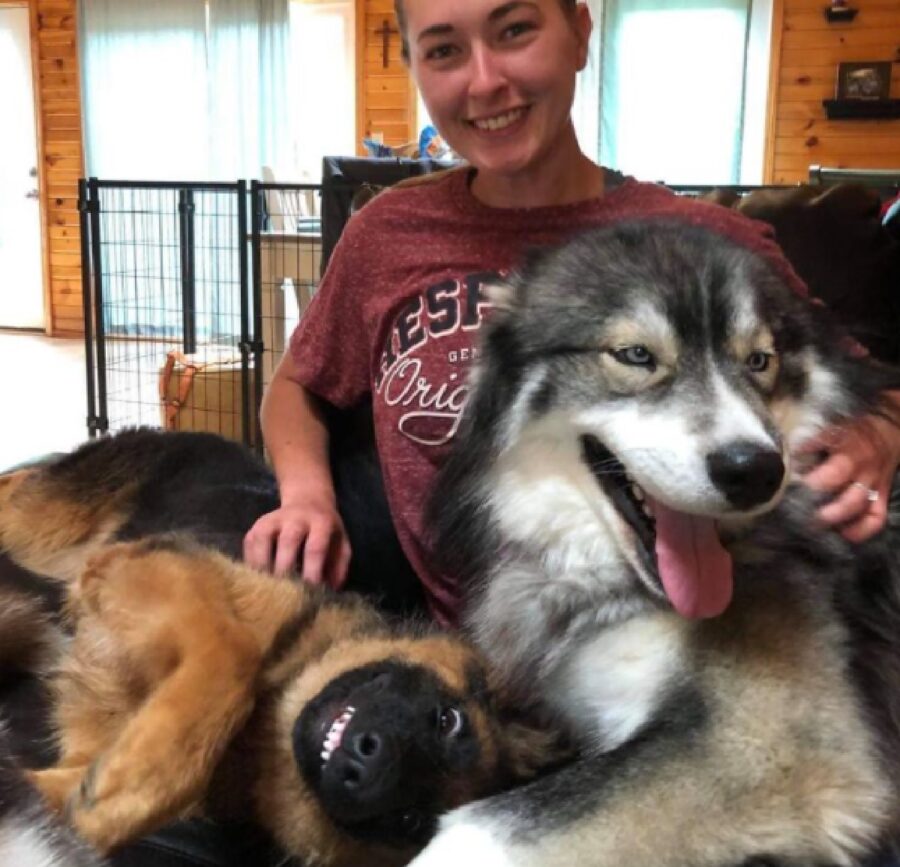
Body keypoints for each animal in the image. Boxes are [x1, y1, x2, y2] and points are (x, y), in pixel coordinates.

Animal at [0, 434, 560, 867]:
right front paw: (128, 790)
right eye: (448, 720)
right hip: (41, 517)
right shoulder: (151, 563)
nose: (362, 766)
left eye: (411, 818)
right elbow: (233, 651)